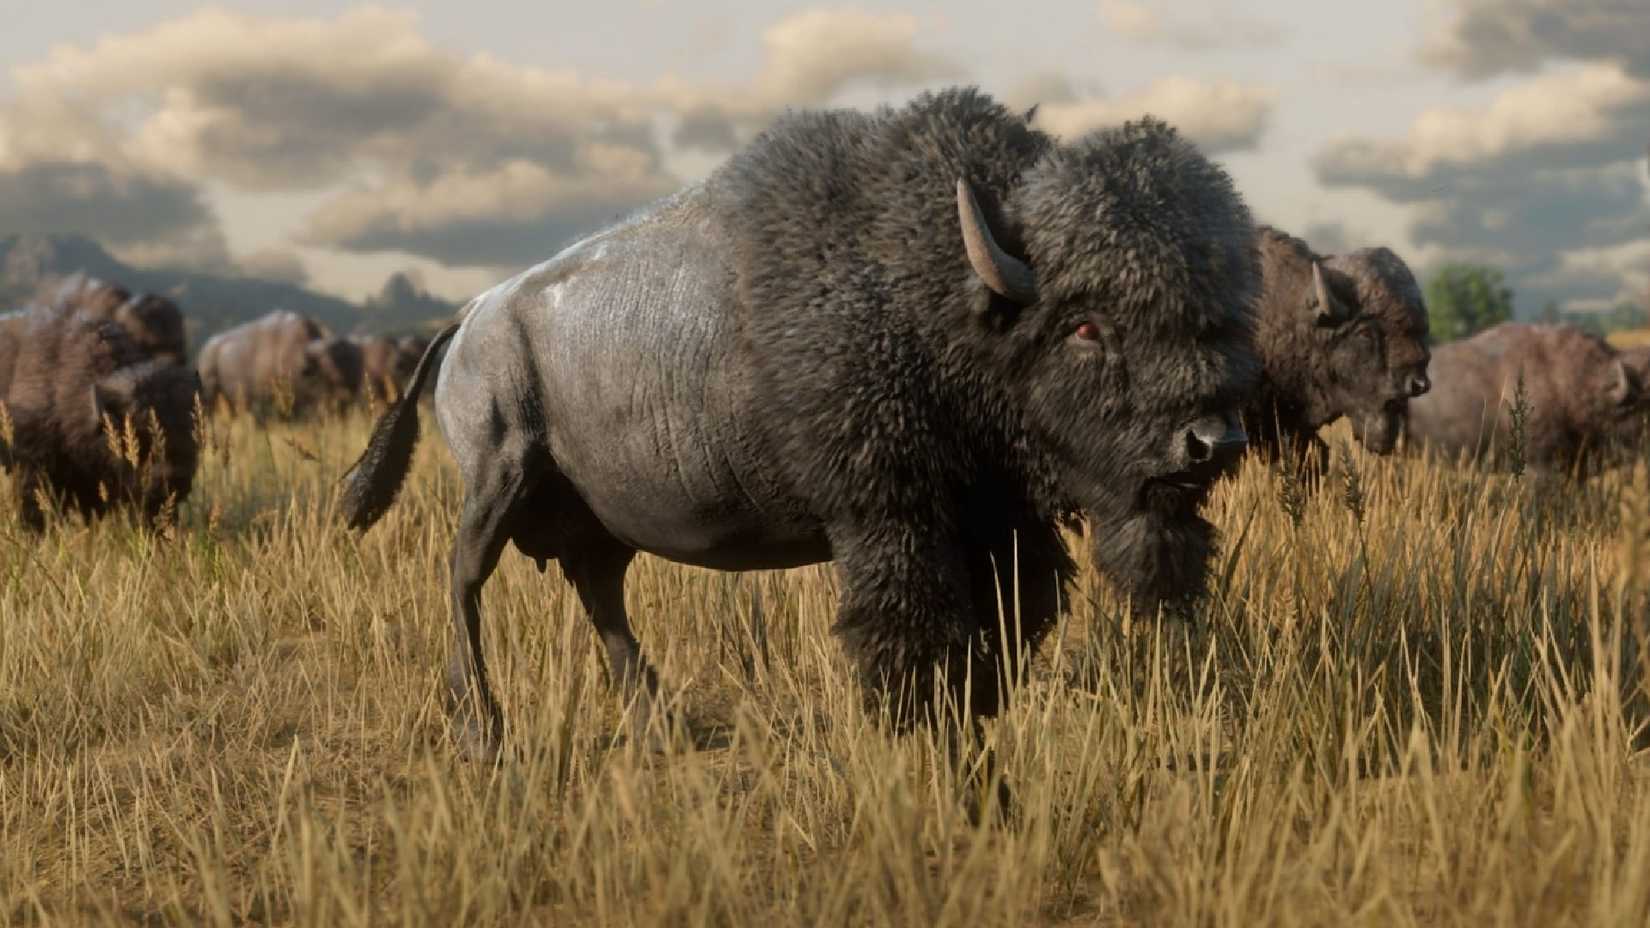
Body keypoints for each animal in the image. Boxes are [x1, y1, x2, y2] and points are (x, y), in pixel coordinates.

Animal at [341, 88, 1260, 772]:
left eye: (1217, 315)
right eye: (1086, 326)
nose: (1209, 443)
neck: (938, 287)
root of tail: (471, 318)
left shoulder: (1000, 526)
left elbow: (1004, 623)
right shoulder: (889, 518)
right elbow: (908, 627)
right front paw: (920, 727)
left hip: (596, 517)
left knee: (600, 593)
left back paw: (657, 725)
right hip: (496, 479)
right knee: (464, 580)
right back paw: (483, 733)